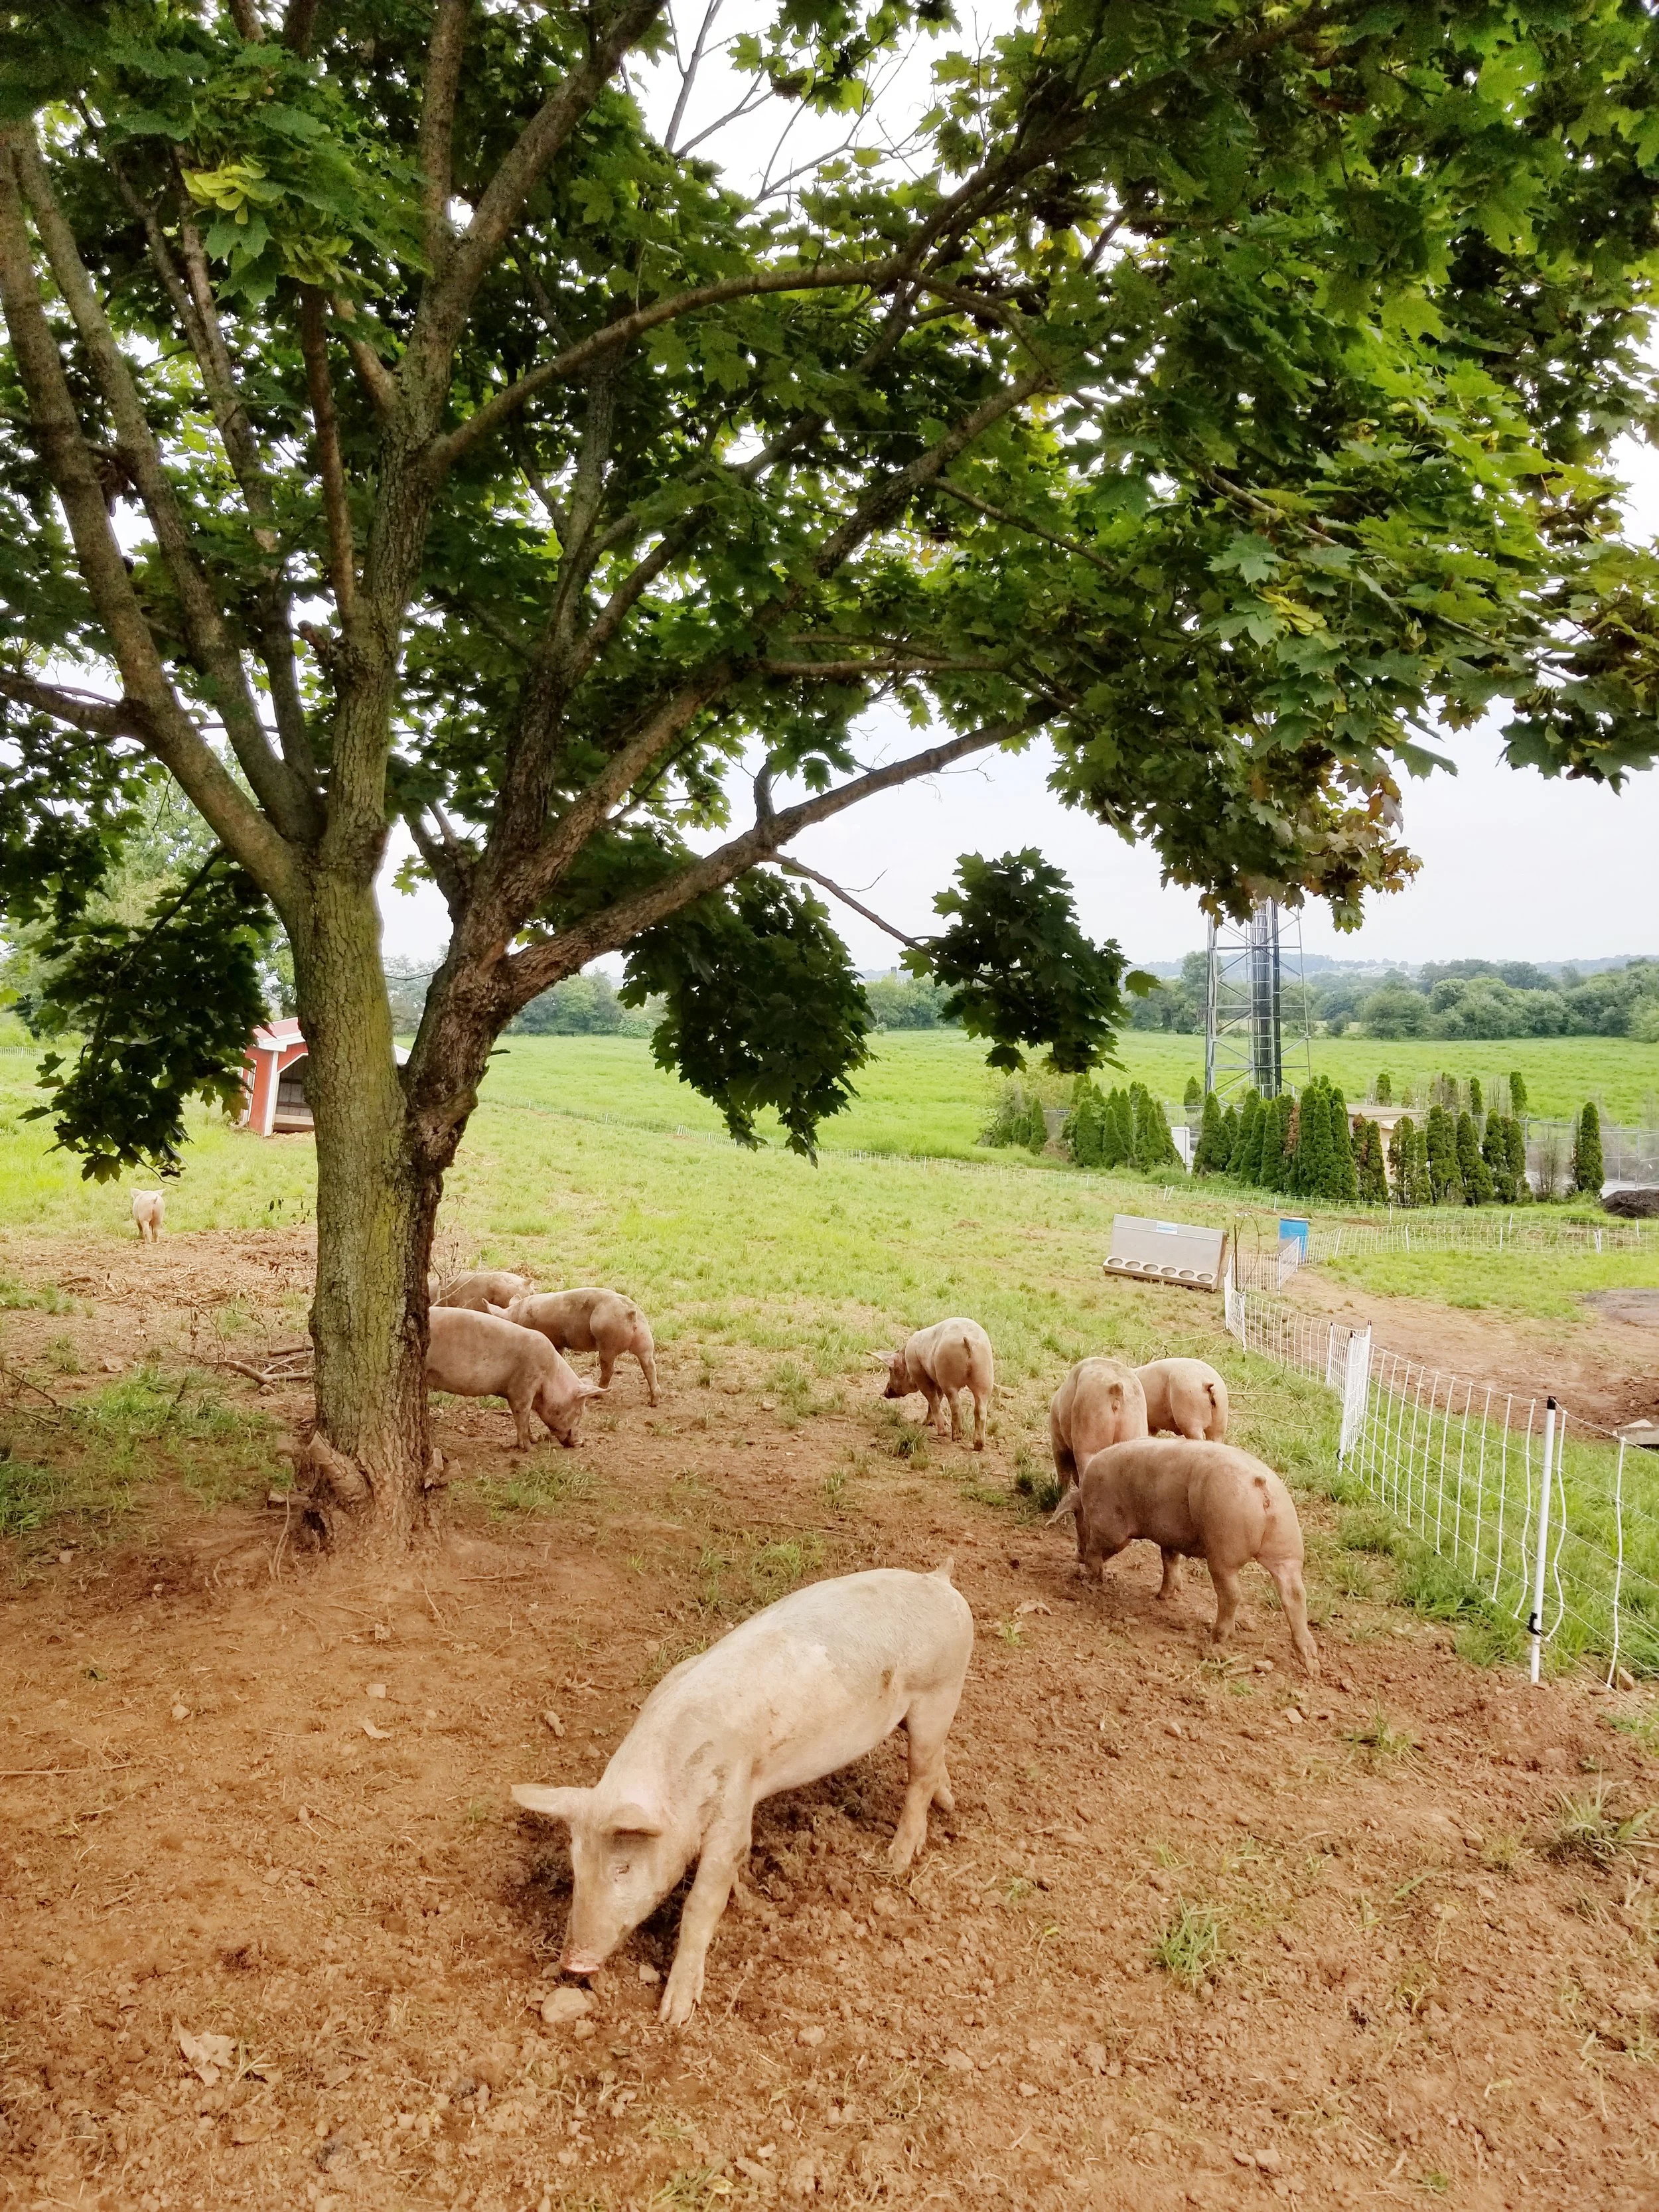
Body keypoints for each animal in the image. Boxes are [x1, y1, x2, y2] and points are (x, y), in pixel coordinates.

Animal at [425, 1307, 600, 1449]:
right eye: (579, 1412)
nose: (580, 1443)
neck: (550, 1376)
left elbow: (526, 1418)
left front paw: (534, 1440)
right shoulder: (523, 1387)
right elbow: (522, 1415)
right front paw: (530, 1448)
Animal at [503, 1287, 658, 1404]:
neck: (517, 1314)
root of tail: (630, 1312)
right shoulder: (559, 1343)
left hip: (608, 1342)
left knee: (610, 1370)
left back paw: (597, 1395)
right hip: (645, 1338)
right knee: (649, 1365)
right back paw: (654, 1401)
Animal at [513, 1562, 973, 2026]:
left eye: (622, 1868)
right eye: (576, 1866)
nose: (574, 1963)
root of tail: (940, 1581)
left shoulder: (733, 1797)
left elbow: (703, 1898)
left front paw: (674, 2016)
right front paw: (748, 1898)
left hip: (941, 1692)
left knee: (920, 1776)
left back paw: (895, 1861)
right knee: (934, 1764)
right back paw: (948, 1805)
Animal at [875, 1318, 994, 1449]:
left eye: (891, 1370)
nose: (885, 1392)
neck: (906, 1359)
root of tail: (968, 1340)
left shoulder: (921, 1376)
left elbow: (933, 1400)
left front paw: (926, 1424)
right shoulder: (936, 1381)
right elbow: (937, 1399)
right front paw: (928, 1423)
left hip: (947, 1375)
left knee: (956, 1404)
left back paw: (954, 1436)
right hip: (985, 1375)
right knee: (980, 1408)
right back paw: (978, 1445)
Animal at [1053, 1436, 1318, 1676]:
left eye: (1077, 1518)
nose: (1076, 1555)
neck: (1088, 1499)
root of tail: (1260, 1484)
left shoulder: (1110, 1527)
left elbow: (1100, 1550)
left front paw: (1091, 1579)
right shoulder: (1169, 1537)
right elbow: (1169, 1560)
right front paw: (1163, 1596)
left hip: (1224, 1547)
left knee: (1232, 1595)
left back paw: (1216, 1638)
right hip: (1287, 1545)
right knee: (1295, 1595)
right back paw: (1310, 1663)